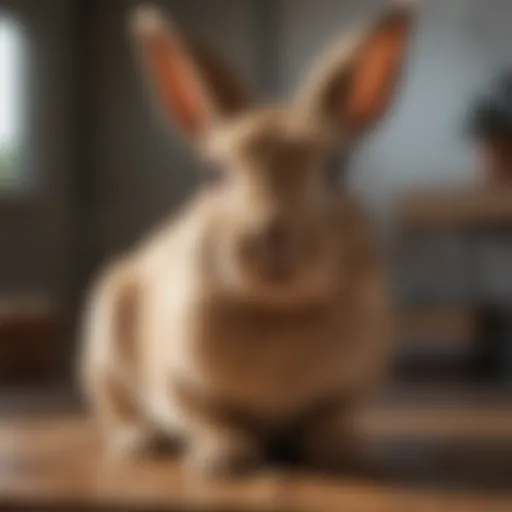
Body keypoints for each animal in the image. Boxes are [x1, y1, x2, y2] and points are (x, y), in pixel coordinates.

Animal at [79, 1, 416, 476]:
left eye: (336, 171)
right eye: (213, 173)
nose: (273, 237)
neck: (275, 311)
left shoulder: (351, 388)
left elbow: (332, 418)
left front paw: (347, 453)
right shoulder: (178, 384)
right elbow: (205, 417)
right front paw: (226, 459)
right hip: (105, 344)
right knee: (116, 408)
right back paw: (140, 443)